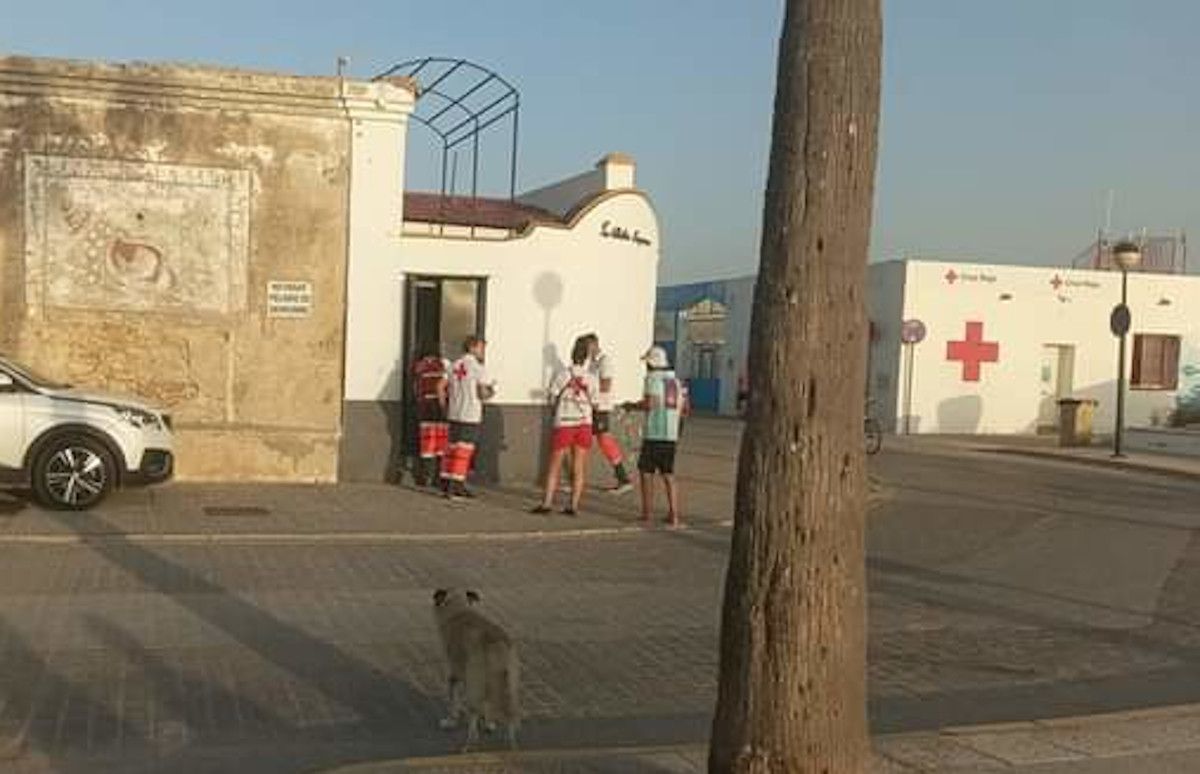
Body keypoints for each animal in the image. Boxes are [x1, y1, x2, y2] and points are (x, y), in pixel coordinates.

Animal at [436, 585, 520, 748]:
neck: (459, 609)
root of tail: (495, 644)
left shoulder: (454, 673)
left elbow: (454, 700)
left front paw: (451, 720)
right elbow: (485, 705)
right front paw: (488, 723)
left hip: (475, 679)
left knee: (473, 714)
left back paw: (469, 743)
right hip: (509, 681)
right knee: (509, 712)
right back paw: (510, 744)